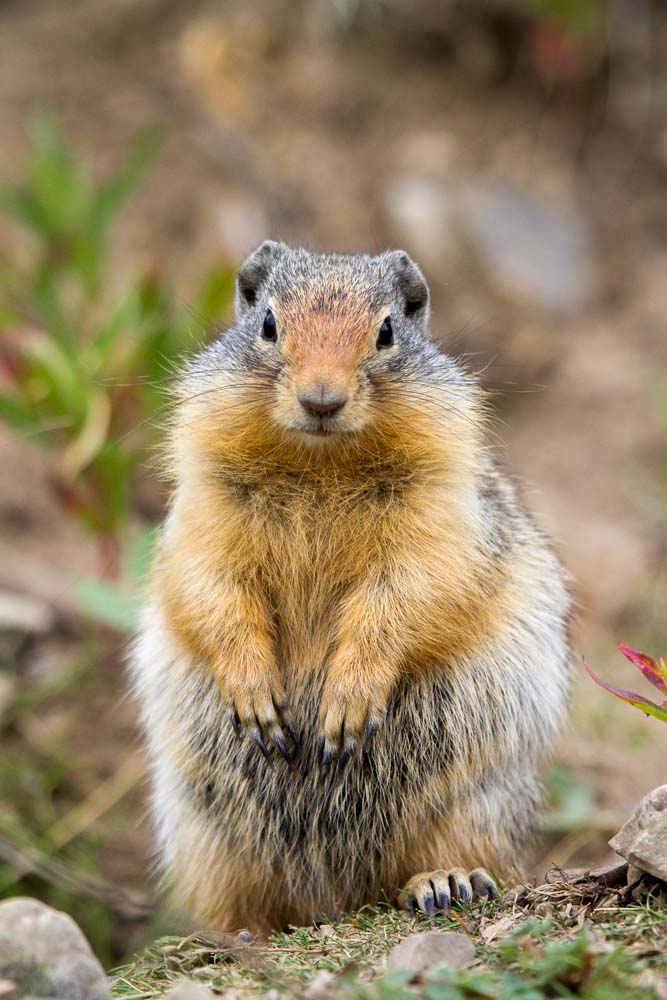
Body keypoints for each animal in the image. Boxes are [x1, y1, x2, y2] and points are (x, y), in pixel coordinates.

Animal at [132, 240, 576, 928]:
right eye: (268, 324)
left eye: (387, 332)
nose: (321, 399)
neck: (321, 462)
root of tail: (336, 904)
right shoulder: (203, 508)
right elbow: (209, 586)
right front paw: (257, 697)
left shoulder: (440, 516)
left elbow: (414, 591)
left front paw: (346, 703)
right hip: (203, 835)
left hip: (478, 799)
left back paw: (444, 881)